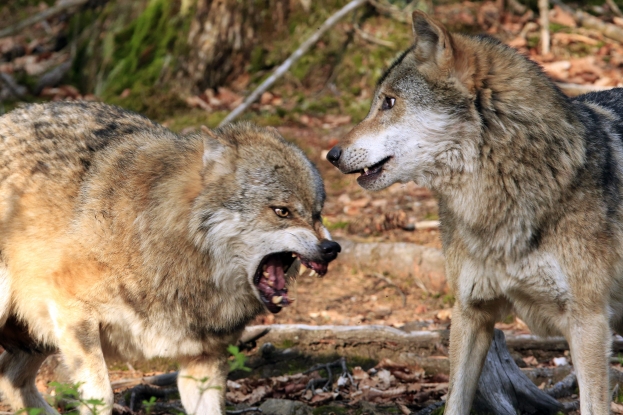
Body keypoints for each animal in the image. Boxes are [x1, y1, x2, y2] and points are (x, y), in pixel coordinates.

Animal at [0, 101, 342, 415]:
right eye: (281, 211)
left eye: (317, 213)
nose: (332, 248)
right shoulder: (73, 312)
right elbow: (102, 395)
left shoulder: (203, 359)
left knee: (9, 379)